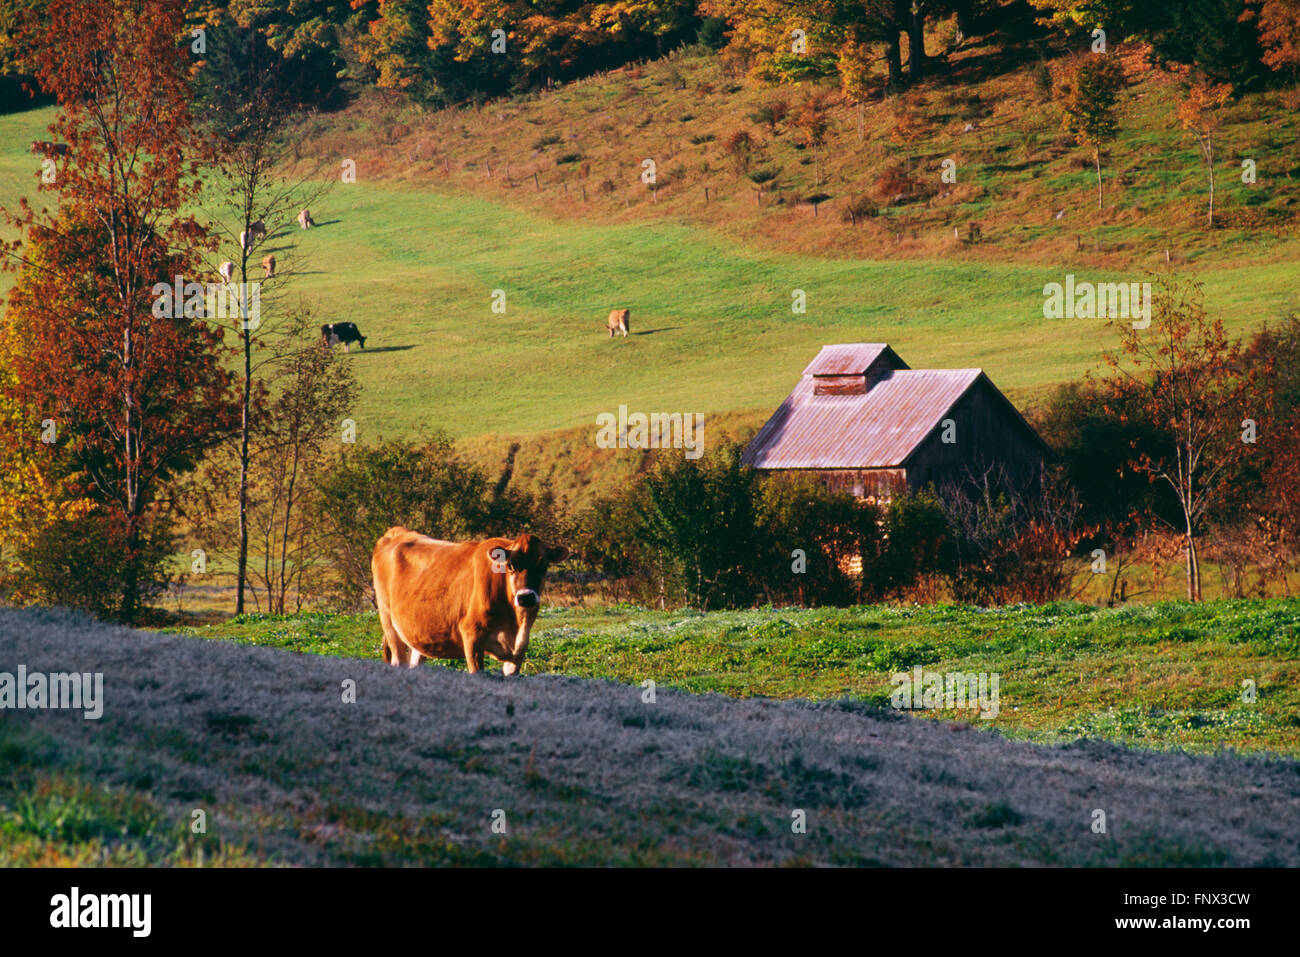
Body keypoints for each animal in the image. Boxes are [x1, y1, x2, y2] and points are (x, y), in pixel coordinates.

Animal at [372, 527, 569, 675]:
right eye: (511, 565)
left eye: (544, 565)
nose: (526, 596)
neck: (515, 623)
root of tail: (396, 532)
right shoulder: (472, 636)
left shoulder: (519, 649)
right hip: (388, 621)